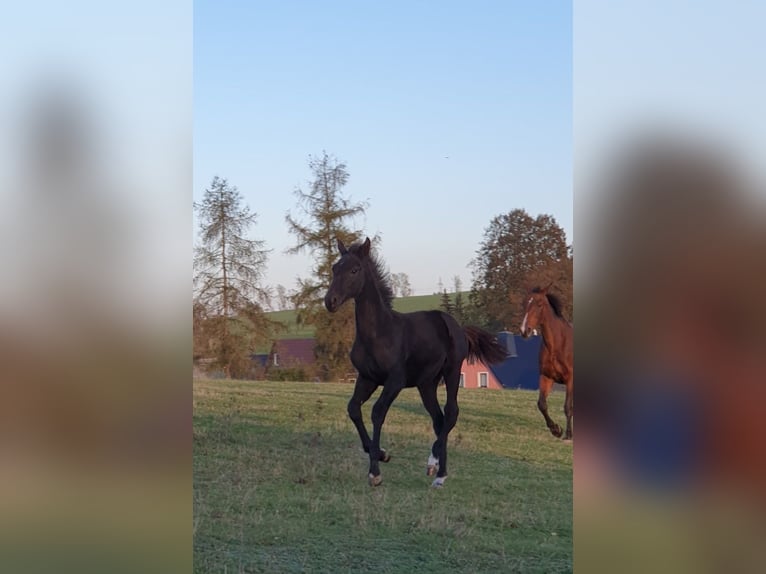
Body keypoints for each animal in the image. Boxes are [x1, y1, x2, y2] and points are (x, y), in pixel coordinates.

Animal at [324, 237, 508, 487]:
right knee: (438, 418)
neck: (379, 333)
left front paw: (375, 471)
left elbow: (377, 412)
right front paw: (381, 454)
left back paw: (435, 467)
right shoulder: (367, 378)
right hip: (426, 383)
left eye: (355, 270)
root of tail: (458, 327)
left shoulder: (395, 380)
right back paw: (439, 470)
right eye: (335, 269)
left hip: (452, 371)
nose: (330, 301)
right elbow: (353, 408)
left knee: (451, 412)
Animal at [520, 284, 574, 440]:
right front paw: (556, 430)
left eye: (539, 304)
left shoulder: (570, 379)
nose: (524, 330)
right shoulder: (546, 377)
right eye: (524, 303)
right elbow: (542, 404)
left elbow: (568, 407)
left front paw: (568, 434)